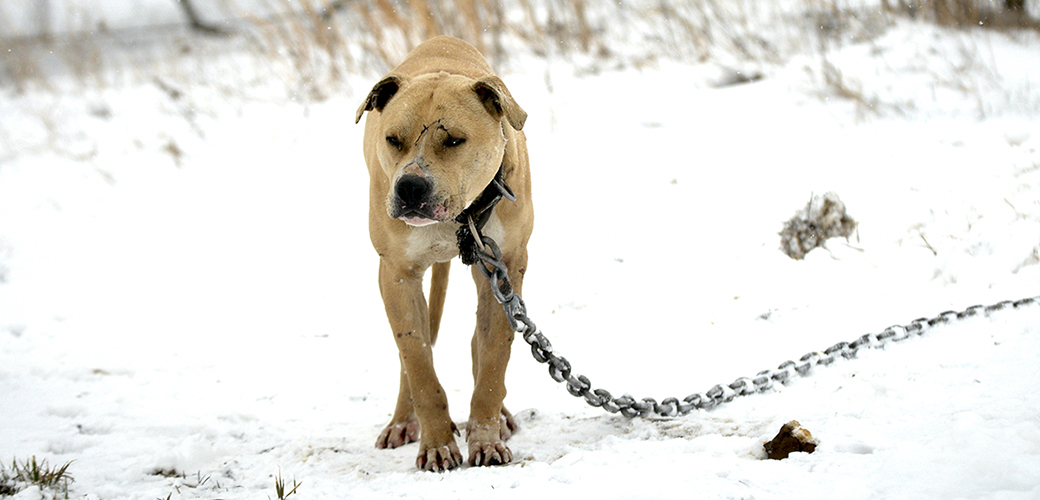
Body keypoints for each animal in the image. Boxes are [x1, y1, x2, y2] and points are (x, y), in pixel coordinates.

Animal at [357, 36, 536, 469]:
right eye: (393, 139)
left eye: (454, 140)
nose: (410, 187)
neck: (459, 218)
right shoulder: (396, 275)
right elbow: (418, 362)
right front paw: (437, 443)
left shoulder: (505, 268)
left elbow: (492, 359)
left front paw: (485, 437)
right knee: (410, 354)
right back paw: (401, 422)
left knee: (477, 344)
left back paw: (499, 418)